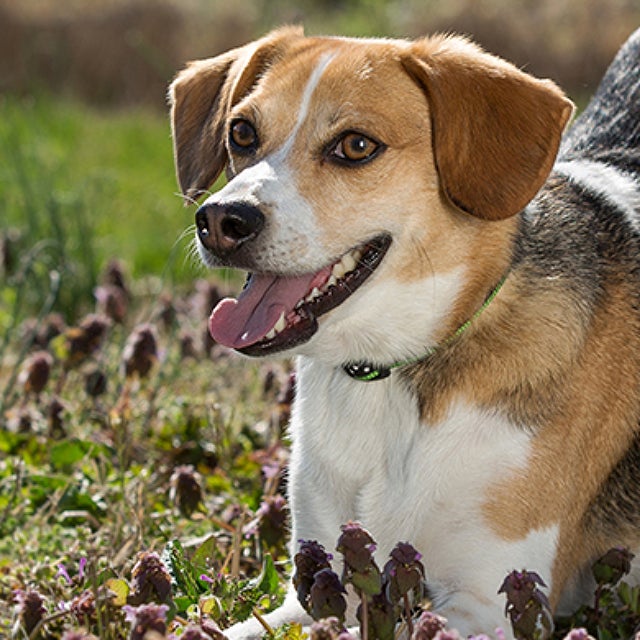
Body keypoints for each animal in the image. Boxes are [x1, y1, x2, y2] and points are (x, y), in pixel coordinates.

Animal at [169, 27, 640, 636]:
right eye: (242, 133)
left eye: (355, 146)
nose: (222, 220)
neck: (385, 376)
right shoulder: (310, 589)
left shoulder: (494, 603)